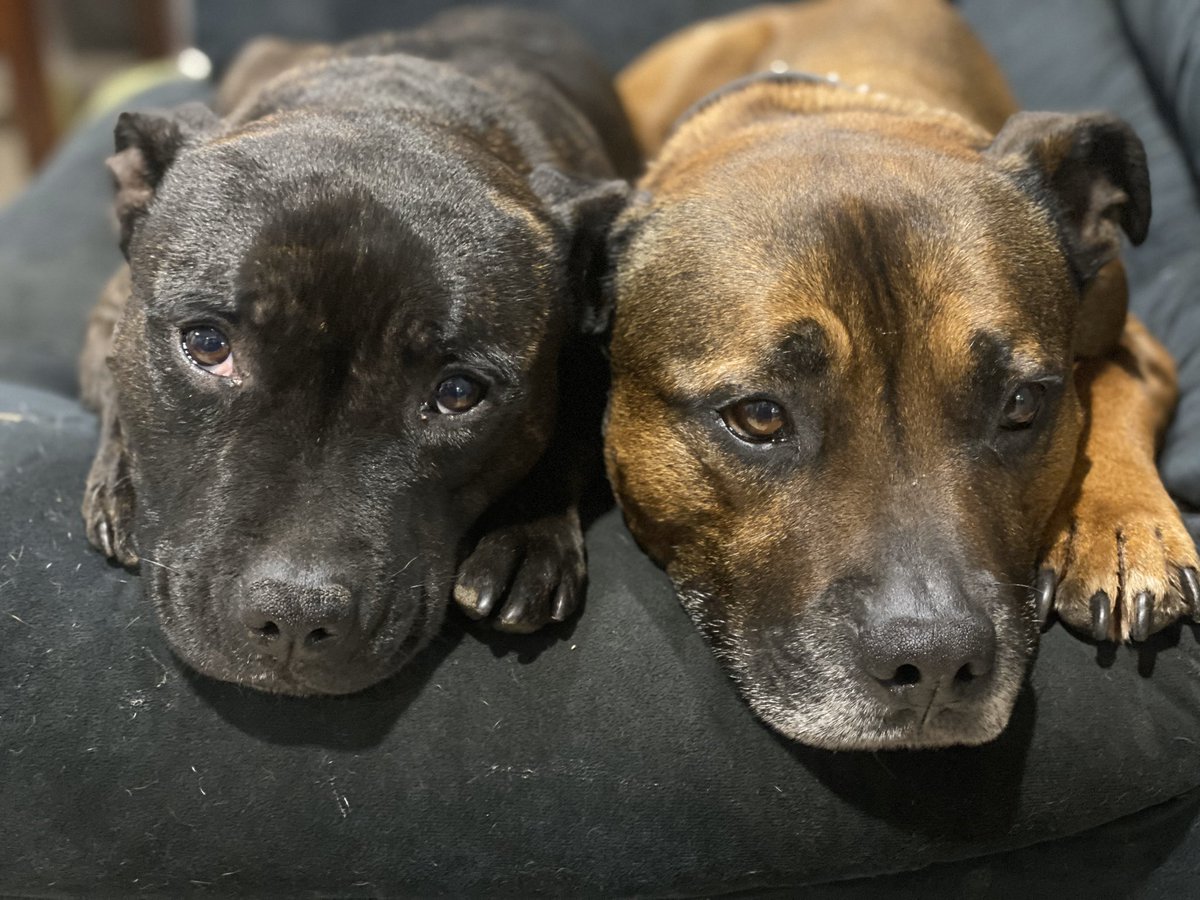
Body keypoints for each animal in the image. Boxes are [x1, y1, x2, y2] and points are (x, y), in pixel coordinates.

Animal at [77, 8, 638, 696]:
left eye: (458, 394)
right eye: (207, 346)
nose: (294, 614)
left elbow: (576, 436)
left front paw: (528, 537)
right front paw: (120, 480)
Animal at [609, 0, 1200, 748]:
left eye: (1021, 404)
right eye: (759, 416)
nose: (936, 662)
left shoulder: (1130, 331)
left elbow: (1115, 388)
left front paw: (1121, 527)